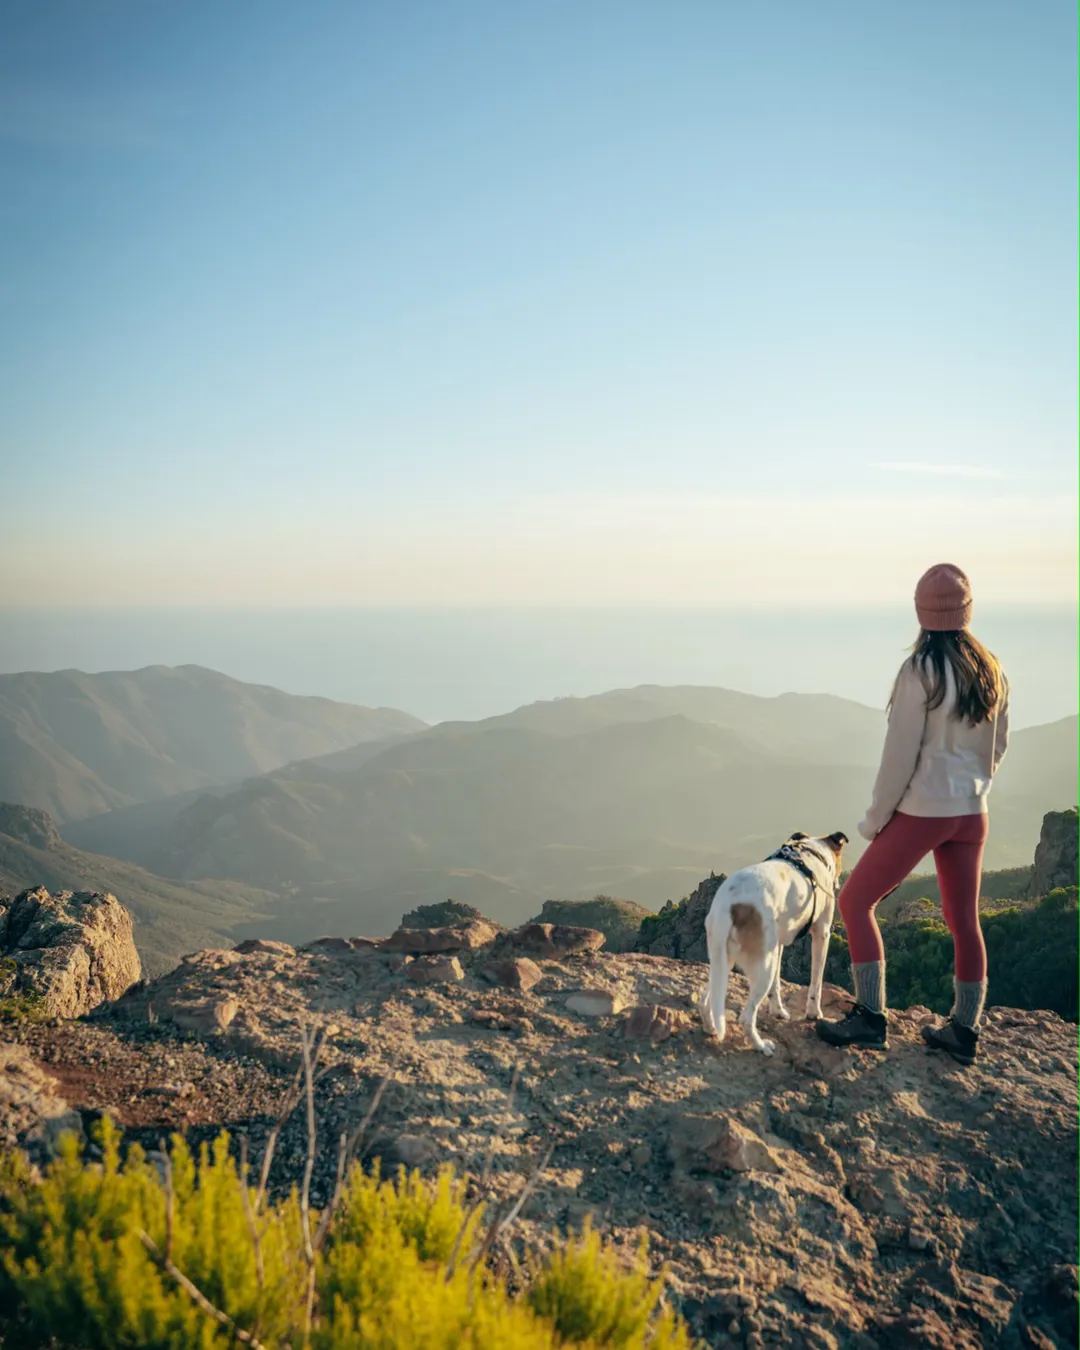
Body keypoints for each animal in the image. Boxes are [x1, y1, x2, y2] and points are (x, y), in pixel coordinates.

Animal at [702, 831, 853, 1053]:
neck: (813, 853)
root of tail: (729, 904)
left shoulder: (779, 944)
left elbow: (777, 985)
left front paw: (778, 1011)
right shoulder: (822, 934)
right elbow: (816, 983)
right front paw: (813, 1013)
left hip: (726, 957)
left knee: (708, 998)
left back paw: (710, 1027)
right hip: (763, 965)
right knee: (746, 1017)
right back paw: (761, 1045)